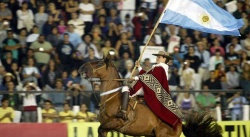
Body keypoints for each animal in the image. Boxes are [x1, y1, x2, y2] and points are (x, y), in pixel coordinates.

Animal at [78, 54, 223, 137]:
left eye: (99, 63)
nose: (81, 68)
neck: (112, 98)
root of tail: (181, 123)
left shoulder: (115, 123)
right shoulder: (105, 127)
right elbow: (100, 130)